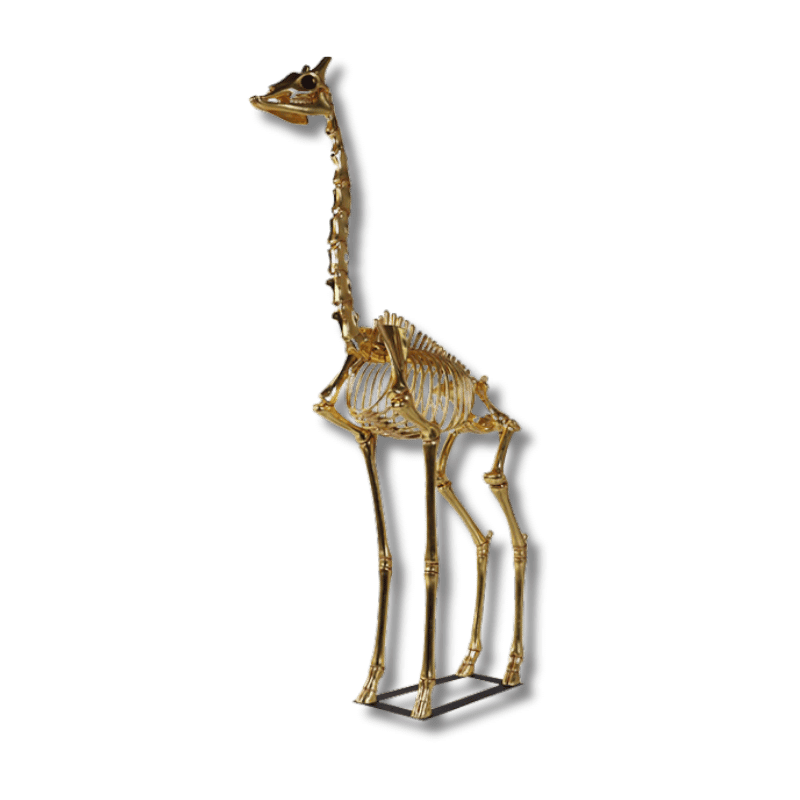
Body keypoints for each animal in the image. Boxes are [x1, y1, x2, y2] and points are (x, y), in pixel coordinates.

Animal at [248, 57, 530, 721]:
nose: (260, 100)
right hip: (455, 448)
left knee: (512, 511)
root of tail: (482, 385)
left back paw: (507, 672)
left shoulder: (422, 437)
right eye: (287, 77)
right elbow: (386, 556)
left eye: (306, 83)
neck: (361, 341)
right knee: (482, 532)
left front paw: (422, 697)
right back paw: (469, 667)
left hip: (483, 431)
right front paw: (374, 686)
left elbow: (430, 558)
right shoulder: (369, 440)